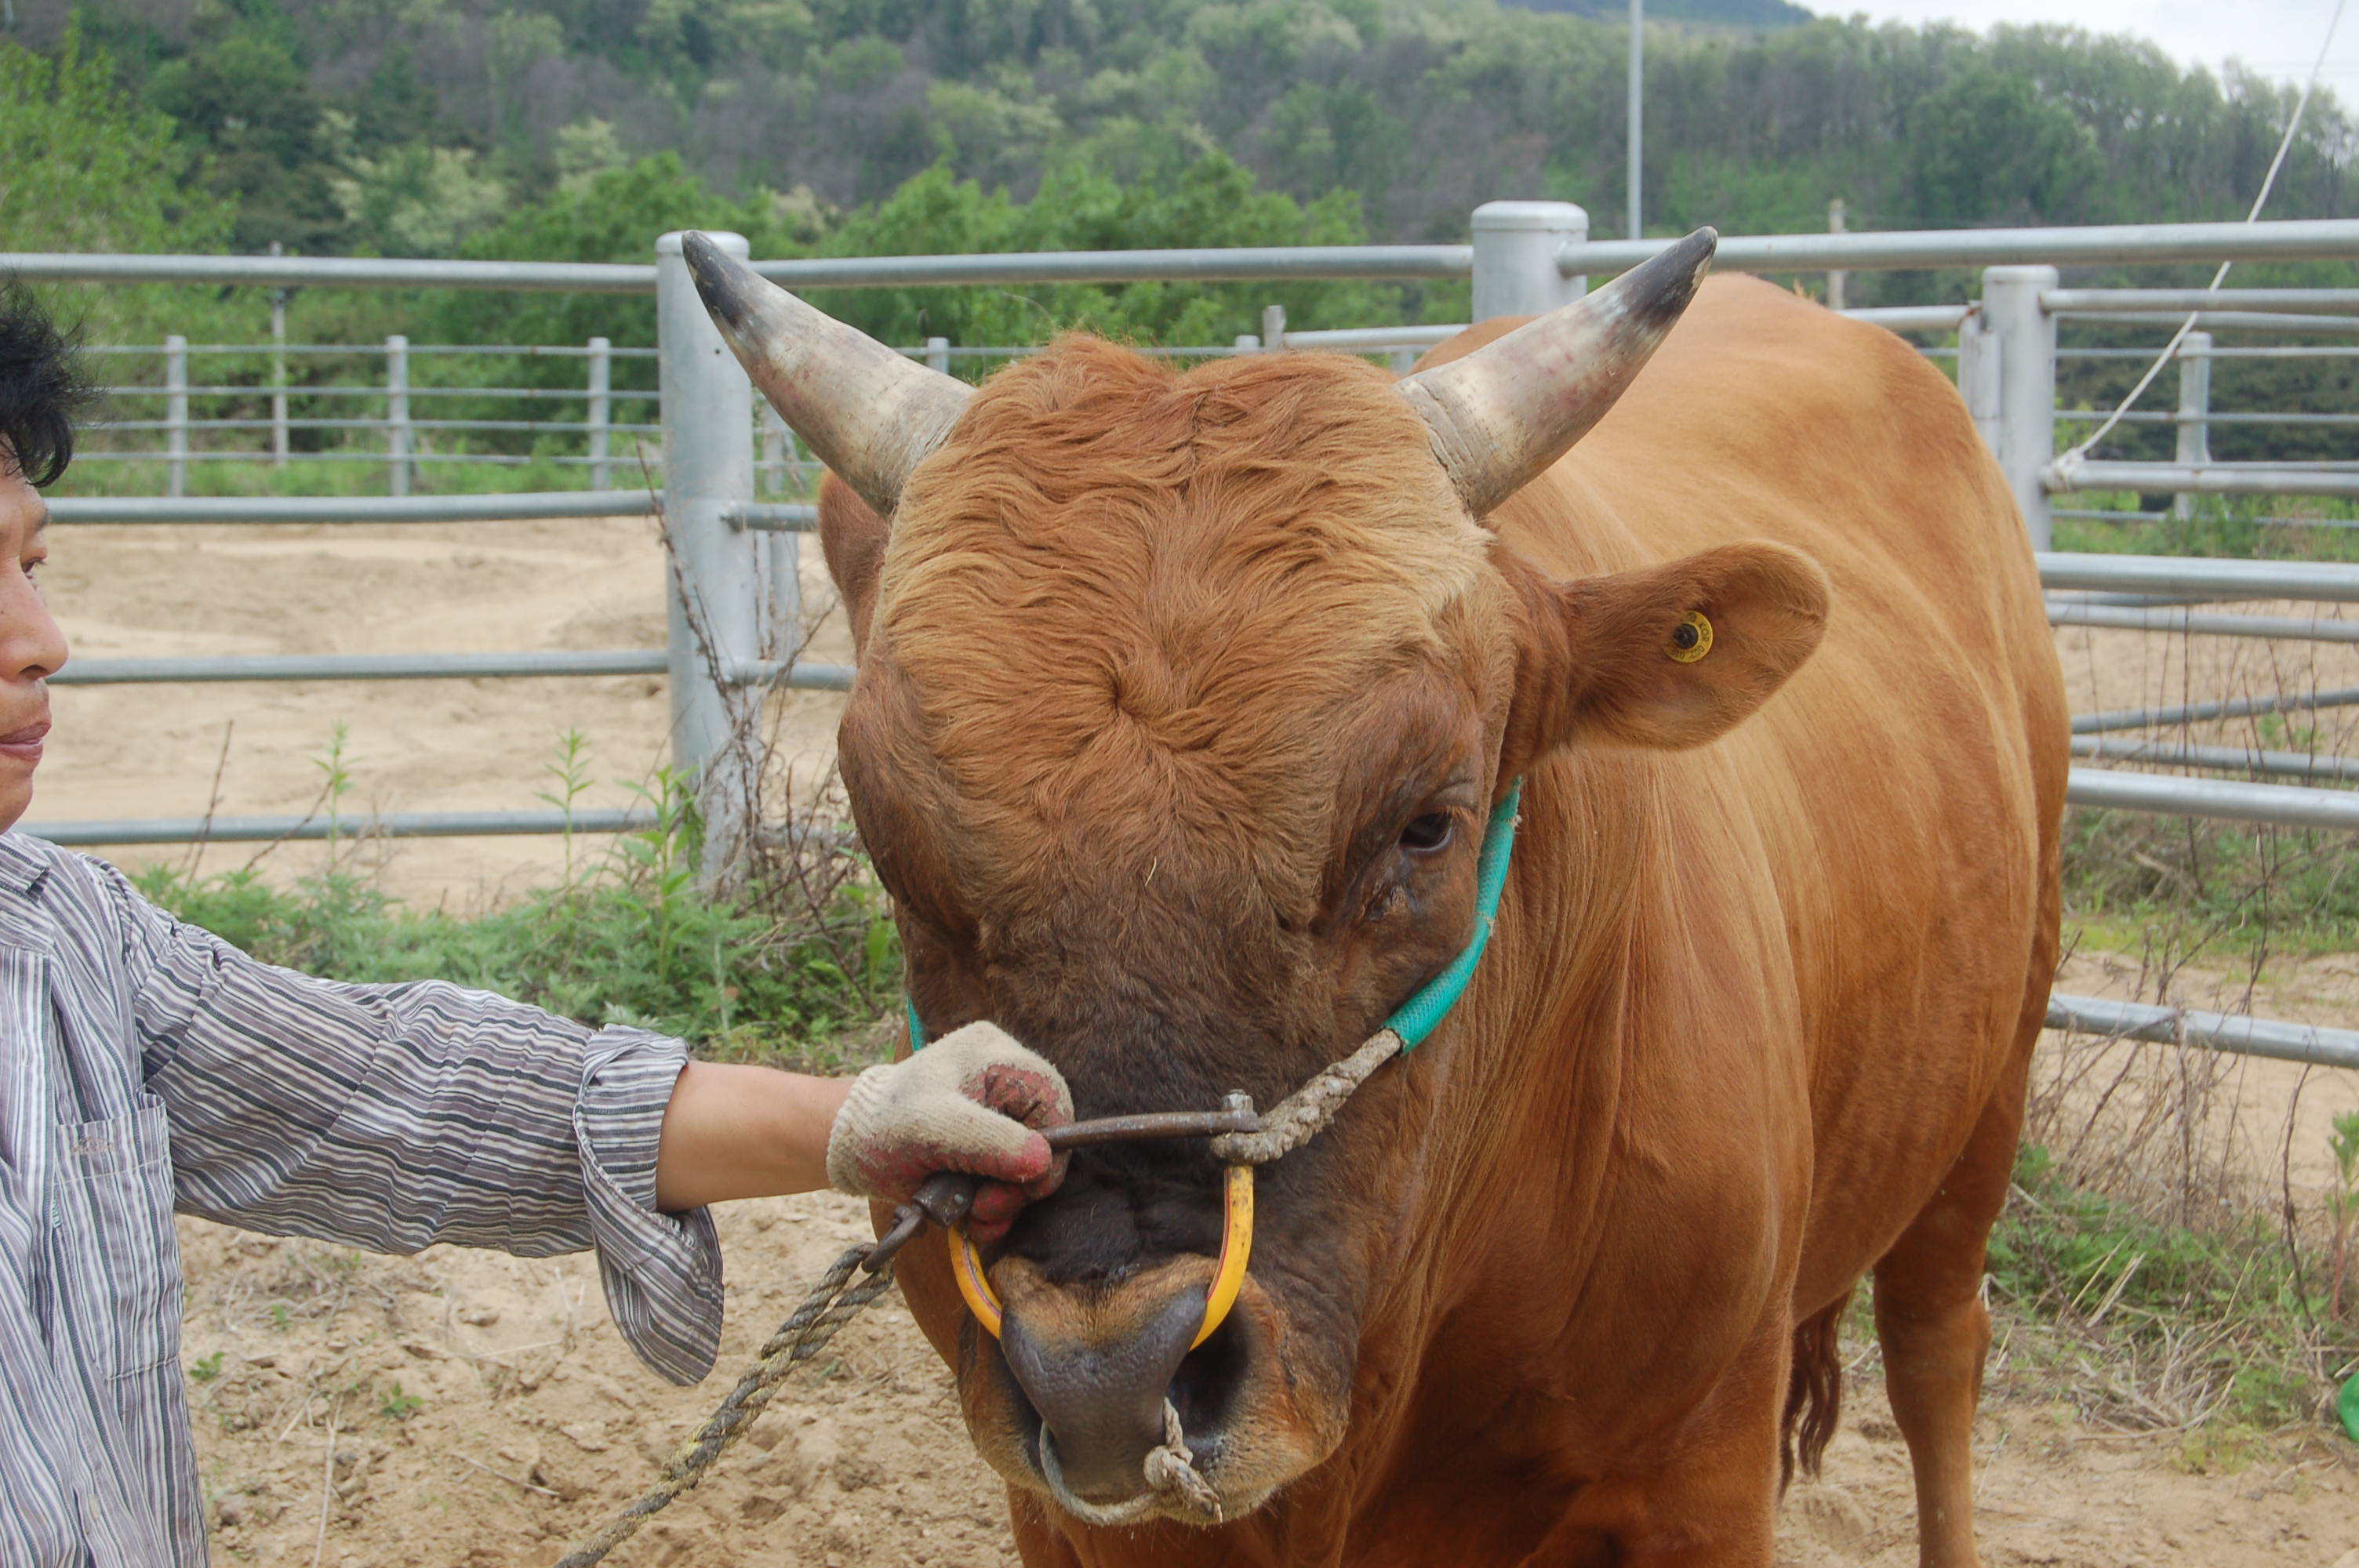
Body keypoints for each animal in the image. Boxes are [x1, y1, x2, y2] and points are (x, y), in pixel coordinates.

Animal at [689, 232, 2066, 1565]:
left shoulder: (1701, 1477)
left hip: (1991, 1086)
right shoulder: (1069, 1521)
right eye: (889, 844)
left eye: (1426, 824)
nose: (1107, 1379)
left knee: (1938, 1351)